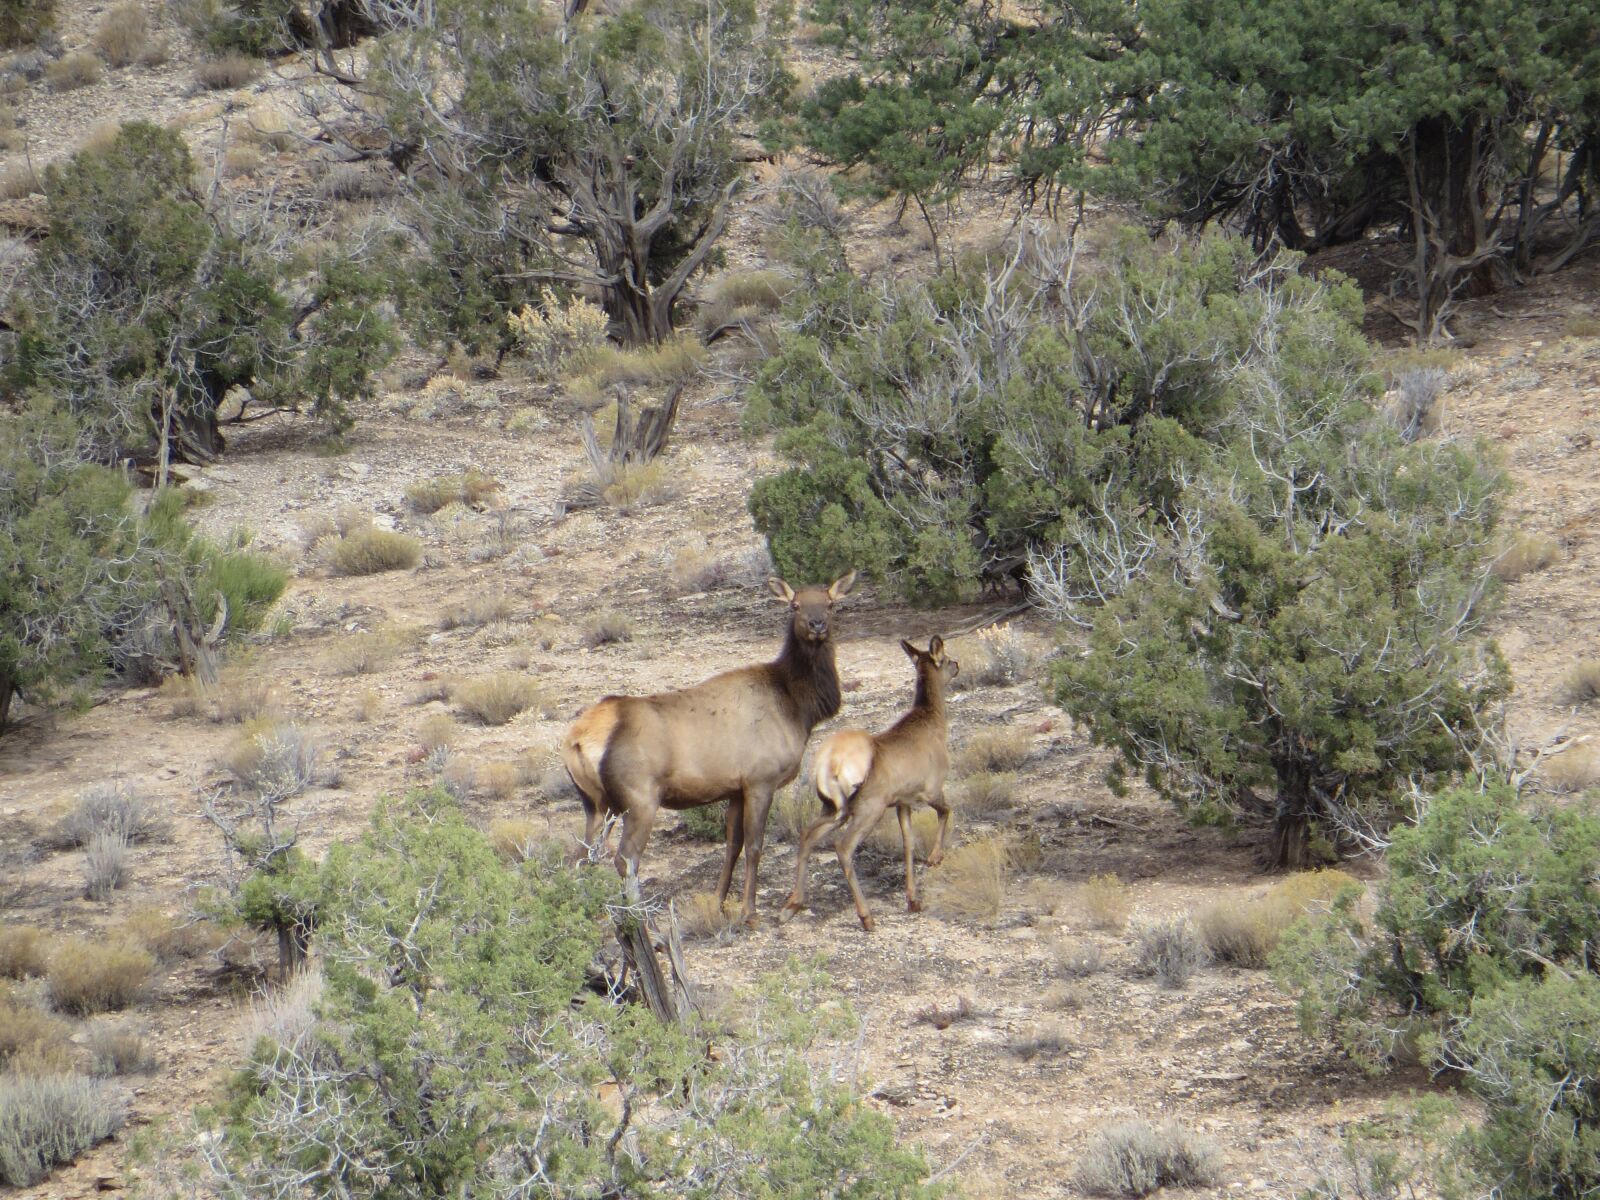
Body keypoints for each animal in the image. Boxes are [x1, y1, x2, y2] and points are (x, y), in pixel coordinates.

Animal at [566, 569, 857, 928]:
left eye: (830, 603)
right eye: (795, 605)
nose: (817, 624)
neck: (799, 708)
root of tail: (577, 740)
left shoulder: (735, 789)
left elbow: (732, 845)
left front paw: (718, 902)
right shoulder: (761, 780)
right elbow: (755, 846)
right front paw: (749, 911)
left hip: (596, 804)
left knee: (582, 857)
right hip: (639, 799)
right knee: (625, 859)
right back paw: (644, 920)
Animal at [777, 633, 953, 934]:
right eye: (949, 659)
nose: (957, 666)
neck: (934, 723)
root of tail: (829, 765)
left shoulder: (902, 802)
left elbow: (907, 842)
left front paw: (913, 899)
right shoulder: (930, 788)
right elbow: (946, 811)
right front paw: (934, 858)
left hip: (833, 807)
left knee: (807, 834)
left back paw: (791, 906)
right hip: (869, 806)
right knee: (843, 846)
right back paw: (866, 916)